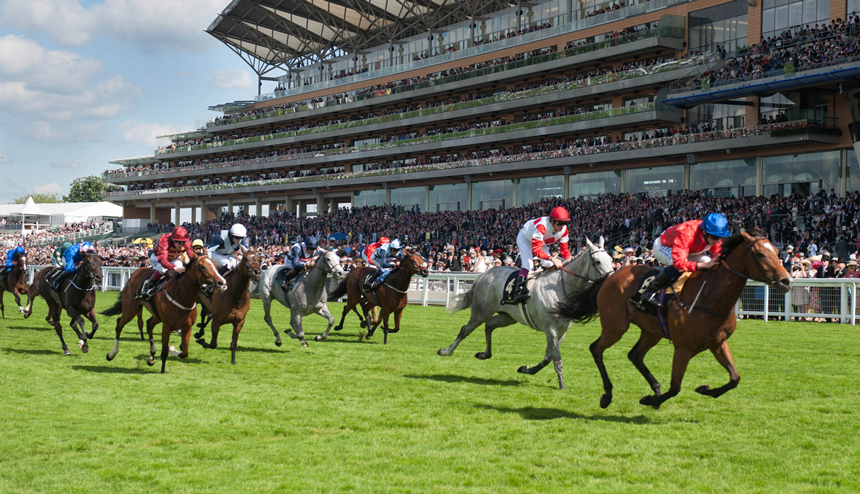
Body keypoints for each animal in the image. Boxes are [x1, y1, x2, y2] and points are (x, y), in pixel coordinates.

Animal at [99, 256, 227, 372]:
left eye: (216, 266)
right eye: (203, 266)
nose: (222, 283)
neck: (182, 295)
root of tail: (137, 272)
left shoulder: (187, 326)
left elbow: (184, 352)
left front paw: (173, 349)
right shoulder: (167, 326)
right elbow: (165, 350)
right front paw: (163, 368)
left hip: (156, 316)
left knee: (149, 324)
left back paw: (151, 356)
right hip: (130, 310)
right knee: (119, 324)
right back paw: (112, 354)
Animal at [440, 236, 616, 390]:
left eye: (611, 259)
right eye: (598, 261)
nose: (611, 279)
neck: (559, 288)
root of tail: (484, 275)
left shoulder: (562, 330)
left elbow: (548, 357)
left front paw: (526, 369)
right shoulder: (551, 329)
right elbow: (556, 358)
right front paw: (562, 385)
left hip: (508, 317)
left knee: (489, 326)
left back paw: (484, 354)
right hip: (481, 311)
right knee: (466, 329)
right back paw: (446, 351)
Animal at [556, 231, 792, 410]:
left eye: (777, 252)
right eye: (760, 254)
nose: (786, 281)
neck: (709, 297)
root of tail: (611, 276)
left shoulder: (718, 343)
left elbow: (735, 378)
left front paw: (705, 389)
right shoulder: (683, 348)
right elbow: (675, 387)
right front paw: (649, 400)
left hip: (651, 331)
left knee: (634, 355)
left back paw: (654, 387)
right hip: (616, 327)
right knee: (596, 349)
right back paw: (608, 395)